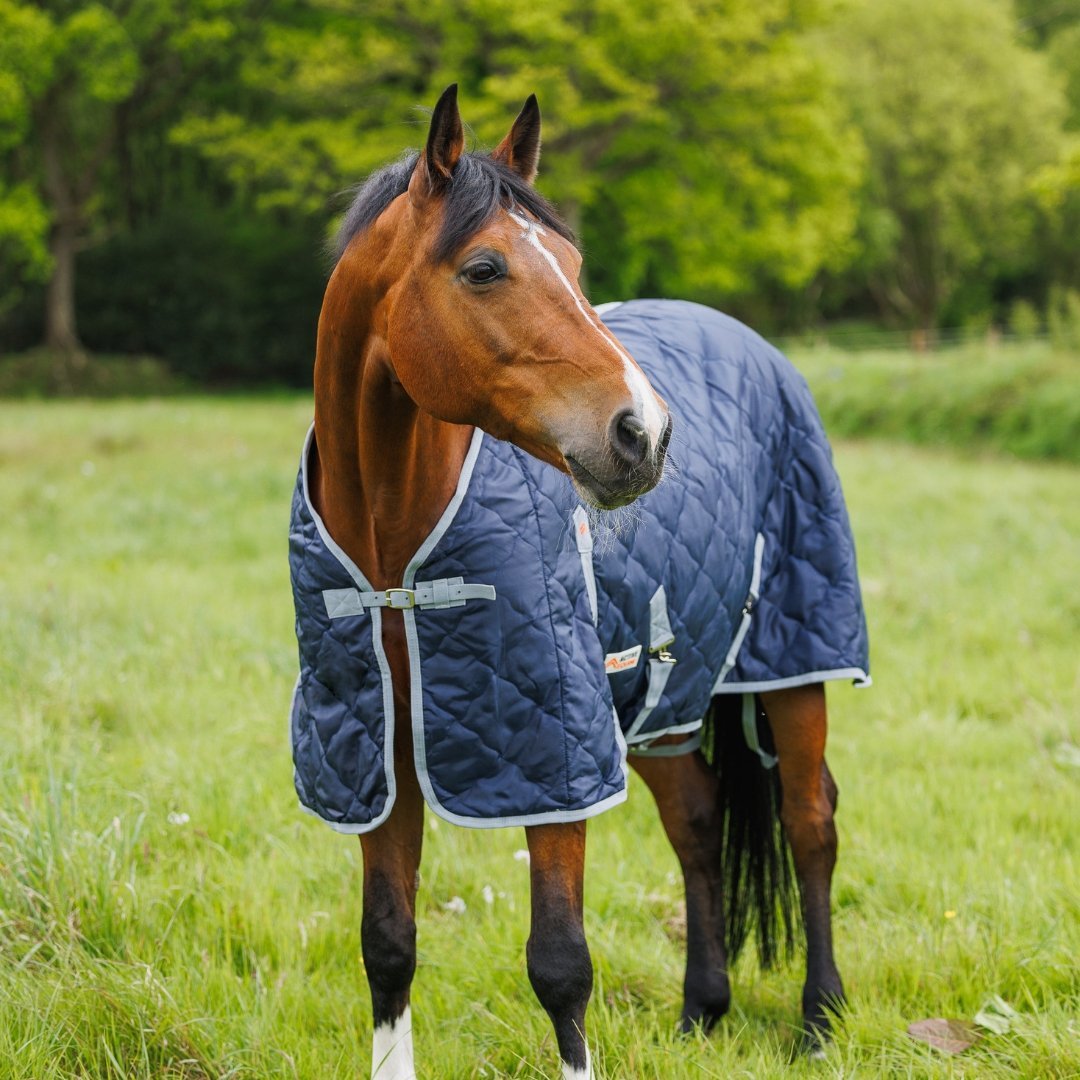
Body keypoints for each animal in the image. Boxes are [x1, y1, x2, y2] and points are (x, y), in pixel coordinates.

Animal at [287, 84, 868, 1080]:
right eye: (484, 268)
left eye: (572, 263)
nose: (646, 432)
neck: (393, 564)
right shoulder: (380, 754)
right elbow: (387, 945)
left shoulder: (556, 756)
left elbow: (560, 964)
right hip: (665, 694)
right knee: (698, 824)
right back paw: (702, 1010)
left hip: (795, 659)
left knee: (809, 822)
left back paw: (820, 1018)